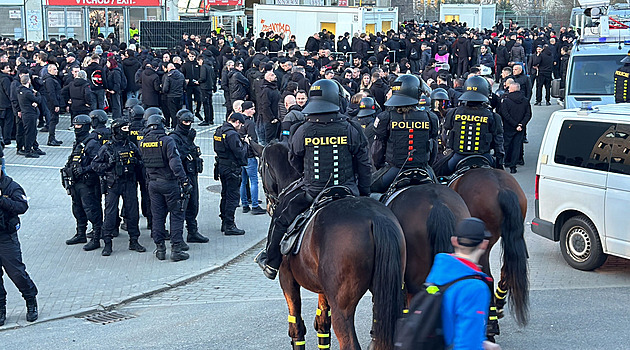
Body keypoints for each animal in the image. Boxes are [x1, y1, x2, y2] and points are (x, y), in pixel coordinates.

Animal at [251, 140, 404, 350]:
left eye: (260, 168)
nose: (267, 206)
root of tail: (375, 218)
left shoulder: (287, 279)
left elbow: (296, 327)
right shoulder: (324, 290)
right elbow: (323, 323)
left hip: (343, 307)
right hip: (387, 293)